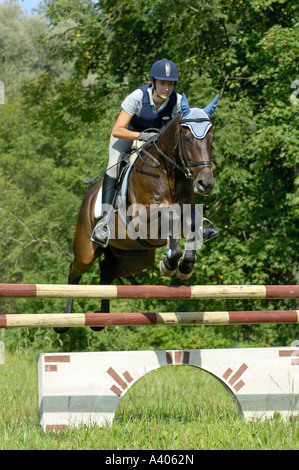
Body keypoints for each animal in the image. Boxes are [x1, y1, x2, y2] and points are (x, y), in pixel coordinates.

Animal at [54, 93, 218, 332]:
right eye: (187, 139)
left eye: (210, 139)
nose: (205, 184)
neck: (169, 172)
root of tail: (89, 194)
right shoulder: (142, 220)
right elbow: (169, 213)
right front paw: (169, 263)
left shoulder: (187, 215)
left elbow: (191, 229)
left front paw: (183, 267)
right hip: (86, 250)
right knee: (74, 271)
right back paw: (64, 321)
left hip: (136, 257)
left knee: (107, 271)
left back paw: (102, 318)